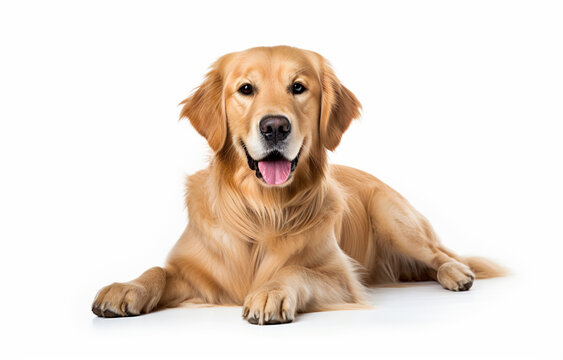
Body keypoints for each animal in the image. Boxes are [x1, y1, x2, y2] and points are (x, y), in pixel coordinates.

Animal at [92, 45, 506, 324]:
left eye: (298, 87)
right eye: (246, 89)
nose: (275, 126)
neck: (262, 209)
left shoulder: (341, 278)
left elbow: (296, 270)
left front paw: (271, 293)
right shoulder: (197, 272)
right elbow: (159, 270)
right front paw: (126, 287)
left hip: (394, 219)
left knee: (439, 254)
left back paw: (456, 274)